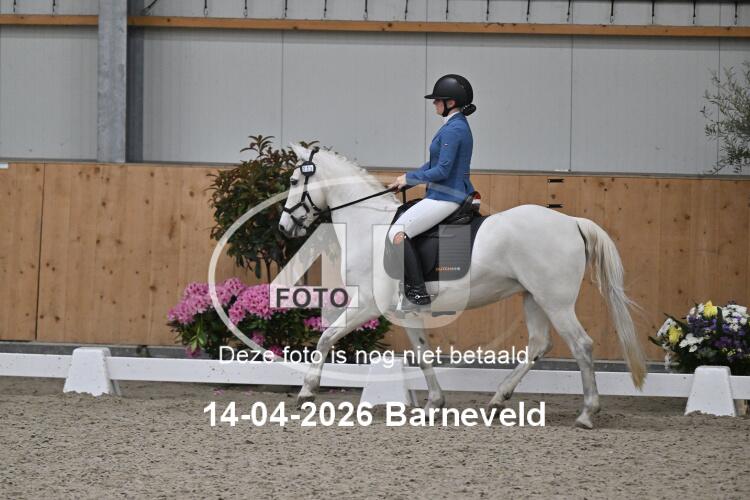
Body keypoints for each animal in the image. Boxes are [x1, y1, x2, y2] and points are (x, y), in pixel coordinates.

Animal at [277, 144, 646, 429]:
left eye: (294, 180)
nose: (283, 228)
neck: (367, 223)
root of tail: (572, 222)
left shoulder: (369, 302)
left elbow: (326, 337)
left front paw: (307, 392)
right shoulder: (406, 312)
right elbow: (423, 354)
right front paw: (433, 404)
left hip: (556, 302)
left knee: (581, 345)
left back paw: (586, 414)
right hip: (534, 297)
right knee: (539, 345)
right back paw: (498, 399)